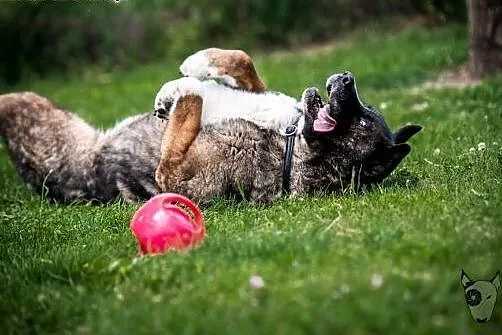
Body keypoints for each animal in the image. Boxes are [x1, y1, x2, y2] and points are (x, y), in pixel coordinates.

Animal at [0, 48, 422, 205]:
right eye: (368, 108)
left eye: (362, 118)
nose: (347, 76)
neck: (289, 146)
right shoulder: (258, 89)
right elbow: (243, 60)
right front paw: (200, 64)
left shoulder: (174, 175)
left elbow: (190, 105)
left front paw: (187, 85)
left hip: (42, 126)